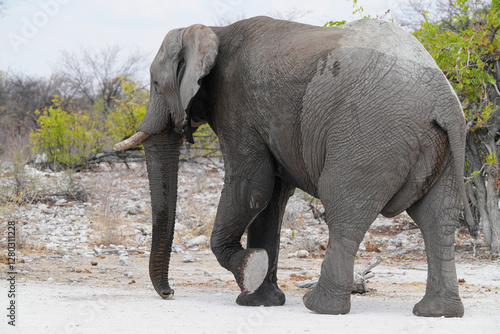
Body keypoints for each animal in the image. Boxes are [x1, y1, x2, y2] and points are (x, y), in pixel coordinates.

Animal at [115, 16, 474, 318]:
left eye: (155, 84)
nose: (169, 293)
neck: (216, 31)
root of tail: (443, 101)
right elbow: (272, 199)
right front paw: (259, 300)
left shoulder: (238, 105)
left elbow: (251, 188)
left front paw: (249, 269)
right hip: (443, 147)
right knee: (436, 218)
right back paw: (438, 313)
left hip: (370, 139)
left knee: (344, 209)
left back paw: (320, 307)